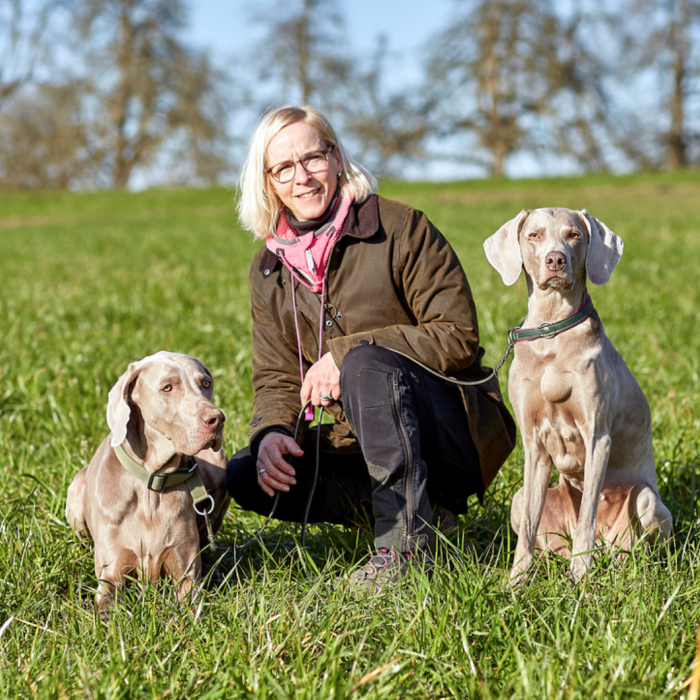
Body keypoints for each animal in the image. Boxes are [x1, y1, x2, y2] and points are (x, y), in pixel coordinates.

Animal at [66, 352, 230, 608]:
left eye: (206, 383)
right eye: (167, 387)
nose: (217, 419)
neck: (153, 484)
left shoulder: (185, 574)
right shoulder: (111, 575)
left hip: (220, 462)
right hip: (76, 488)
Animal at [484, 208, 668, 584]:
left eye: (574, 235)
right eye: (534, 235)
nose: (555, 260)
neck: (551, 332)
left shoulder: (597, 437)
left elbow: (586, 515)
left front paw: (581, 577)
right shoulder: (533, 443)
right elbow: (529, 525)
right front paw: (516, 581)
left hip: (646, 502)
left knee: (629, 547)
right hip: (520, 500)